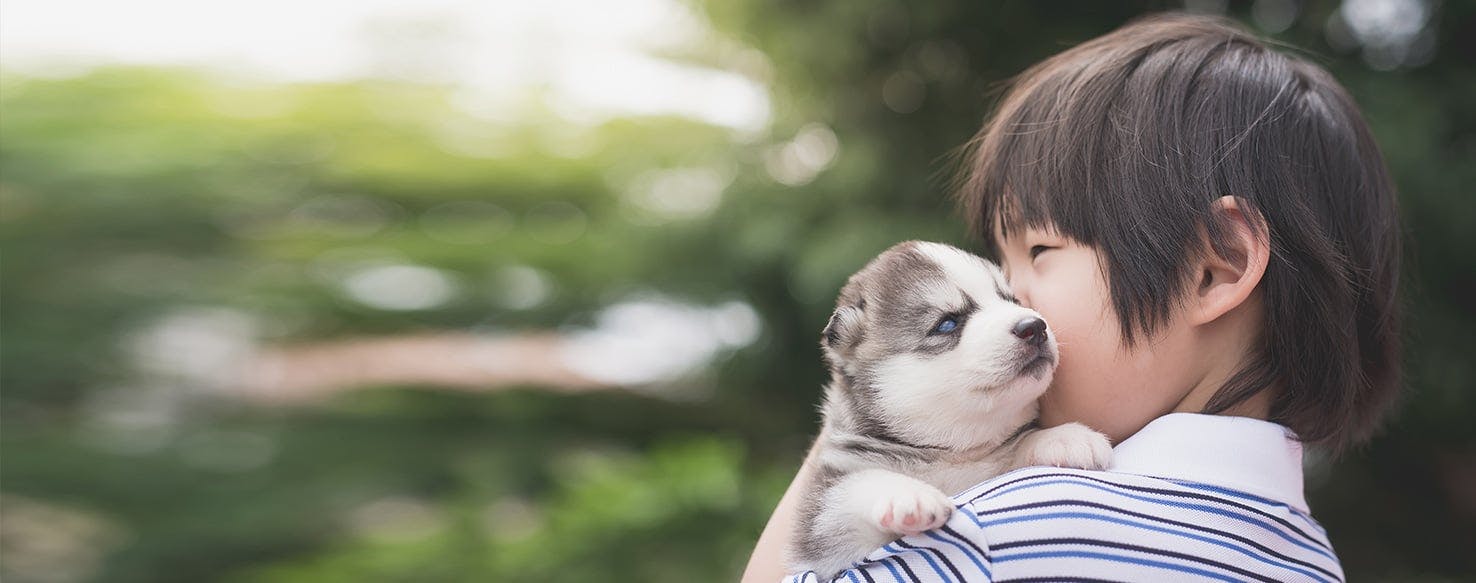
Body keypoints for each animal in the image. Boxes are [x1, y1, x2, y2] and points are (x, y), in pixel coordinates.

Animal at [791, 242, 1109, 578]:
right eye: (947, 323)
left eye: (1011, 300)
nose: (1034, 326)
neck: (953, 454)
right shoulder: (822, 525)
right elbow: (855, 486)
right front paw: (909, 494)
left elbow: (1016, 446)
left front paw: (1064, 437)